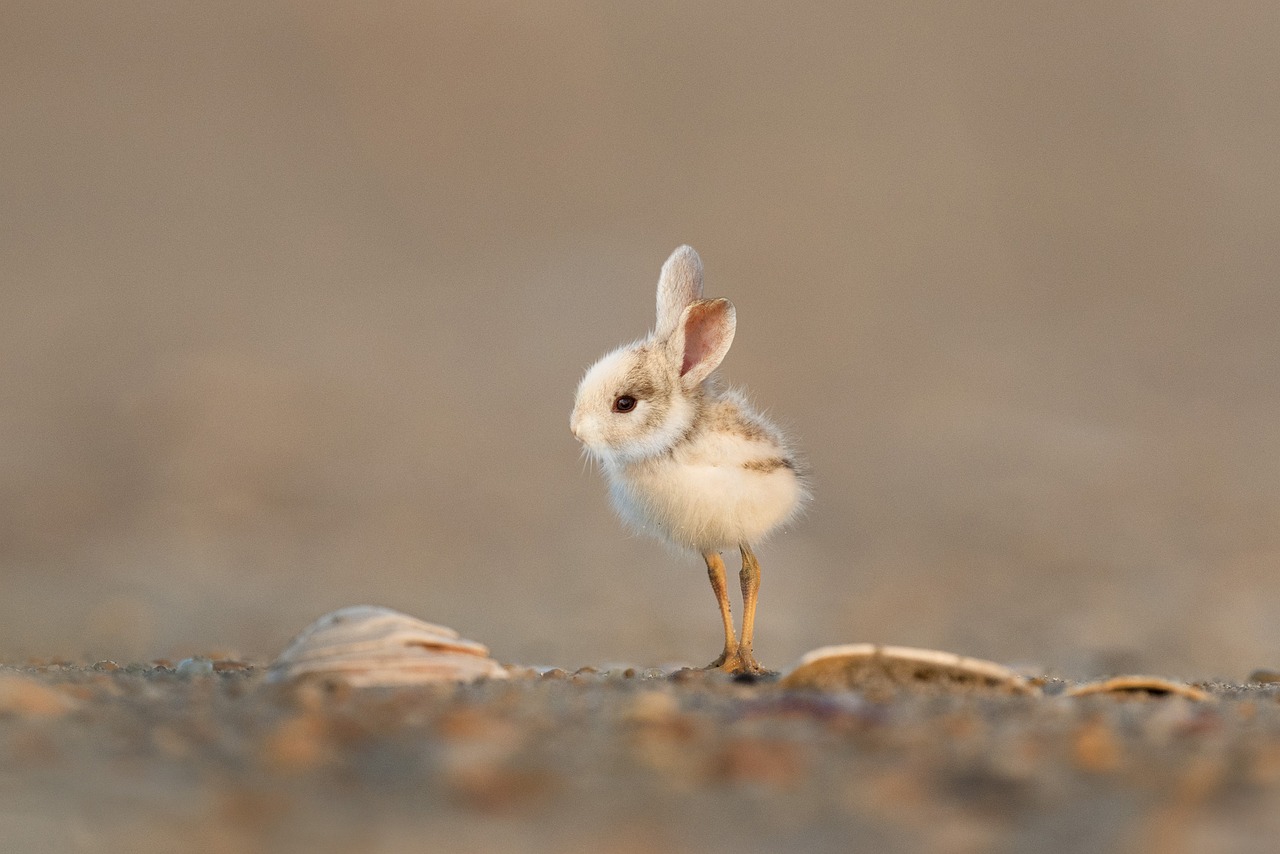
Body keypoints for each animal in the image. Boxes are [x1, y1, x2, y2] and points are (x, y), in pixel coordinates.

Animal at [570, 245, 809, 675]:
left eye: (624, 403)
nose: (575, 430)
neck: (674, 440)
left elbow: (747, 573)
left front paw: (742, 661)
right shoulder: (704, 535)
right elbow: (715, 576)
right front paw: (725, 659)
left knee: (752, 570)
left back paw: (748, 658)